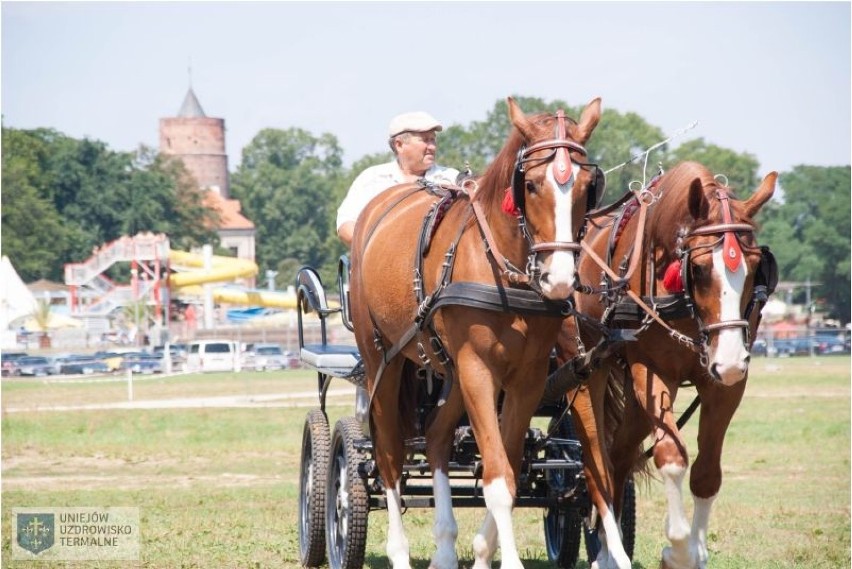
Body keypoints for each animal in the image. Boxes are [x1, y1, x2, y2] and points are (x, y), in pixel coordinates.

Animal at [350, 98, 604, 568]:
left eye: (586, 187)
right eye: (532, 185)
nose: (559, 278)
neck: (502, 265)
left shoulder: (526, 378)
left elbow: (507, 464)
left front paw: (484, 552)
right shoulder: (478, 369)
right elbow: (498, 477)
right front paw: (507, 560)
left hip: (449, 370)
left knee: (436, 437)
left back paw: (445, 549)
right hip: (383, 361)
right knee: (389, 455)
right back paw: (399, 551)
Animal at [560, 161, 780, 568]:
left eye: (757, 265)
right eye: (699, 268)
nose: (730, 359)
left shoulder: (724, 385)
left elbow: (707, 473)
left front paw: (697, 550)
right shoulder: (651, 369)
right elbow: (672, 456)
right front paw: (676, 550)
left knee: (620, 457)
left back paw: (606, 549)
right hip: (584, 371)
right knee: (597, 463)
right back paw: (612, 553)